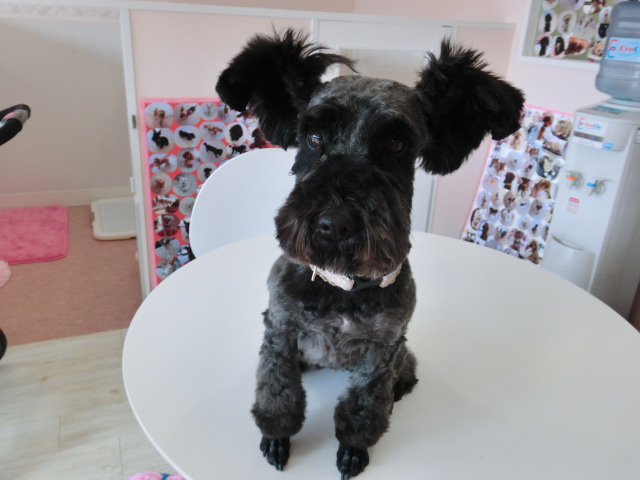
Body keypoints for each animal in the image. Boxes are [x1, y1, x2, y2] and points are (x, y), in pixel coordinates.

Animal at [216, 29, 524, 479]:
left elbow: (364, 406)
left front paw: (353, 449)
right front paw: (276, 436)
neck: (342, 287)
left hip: (403, 354)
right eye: (314, 138)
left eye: (396, 144)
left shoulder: (383, 351)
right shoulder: (279, 331)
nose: (334, 224)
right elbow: (278, 389)